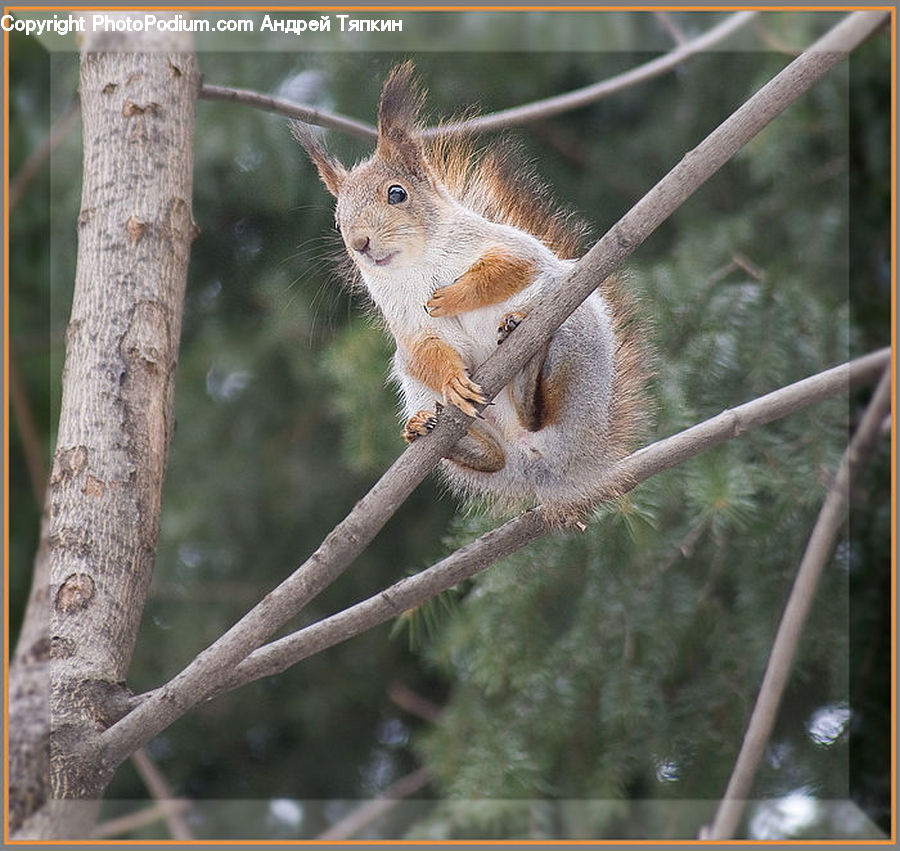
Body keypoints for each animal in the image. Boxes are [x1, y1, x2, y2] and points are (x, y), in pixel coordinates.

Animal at [292, 62, 648, 523]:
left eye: (396, 193)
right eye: (337, 221)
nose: (361, 244)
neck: (417, 265)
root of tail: (556, 467)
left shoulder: (513, 248)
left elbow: (507, 270)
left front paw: (451, 297)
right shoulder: (409, 327)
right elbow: (427, 350)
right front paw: (453, 379)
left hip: (575, 335)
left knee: (540, 411)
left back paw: (527, 374)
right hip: (417, 390)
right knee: (493, 457)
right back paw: (442, 436)